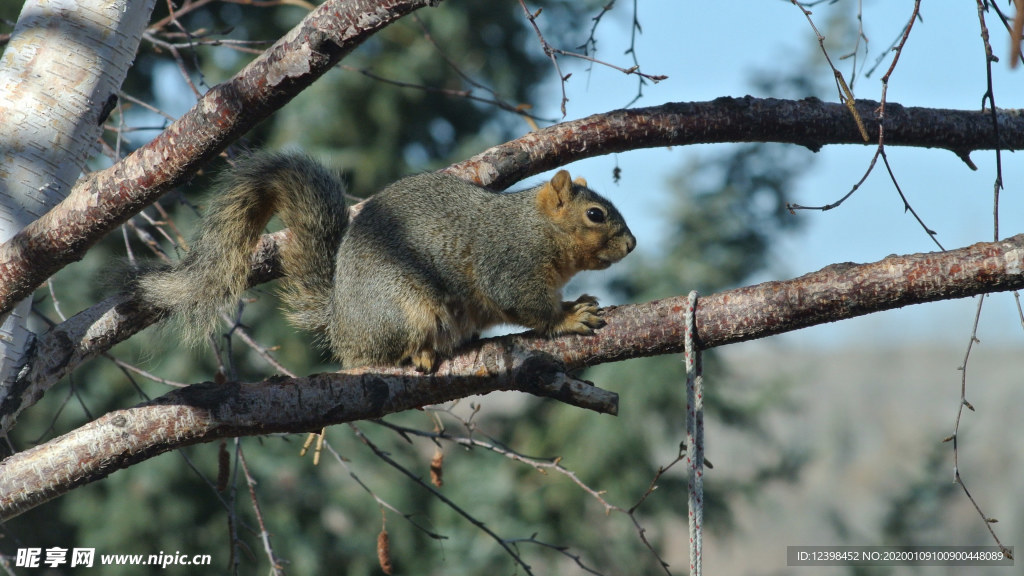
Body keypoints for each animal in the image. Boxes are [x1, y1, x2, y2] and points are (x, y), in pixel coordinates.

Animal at [132, 150, 634, 368]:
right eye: (595, 214)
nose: (631, 246)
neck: (536, 227)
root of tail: (341, 324)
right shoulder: (508, 262)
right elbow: (527, 304)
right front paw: (569, 317)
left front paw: (574, 304)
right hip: (403, 306)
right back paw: (421, 354)